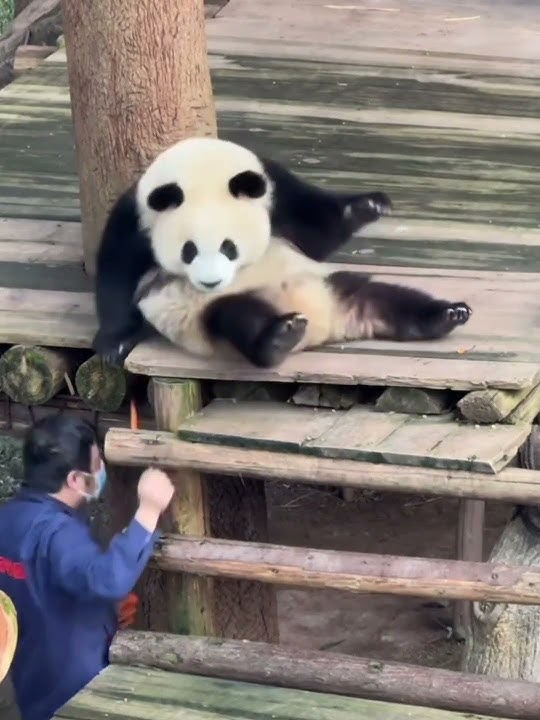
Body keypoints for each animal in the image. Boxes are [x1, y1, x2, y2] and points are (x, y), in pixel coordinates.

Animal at [94, 137, 472, 368]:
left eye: (229, 247)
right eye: (189, 250)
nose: (211, 282)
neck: (200, 166)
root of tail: (326, 324)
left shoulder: (275, 192)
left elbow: (316, 233)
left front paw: (369, 206)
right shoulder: (137, 215)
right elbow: (116, 271)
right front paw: (114, 342)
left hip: (333, 284)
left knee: (388, 297)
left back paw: (446, 314)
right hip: (212, 314)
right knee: (238, 318)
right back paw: (278, 336)